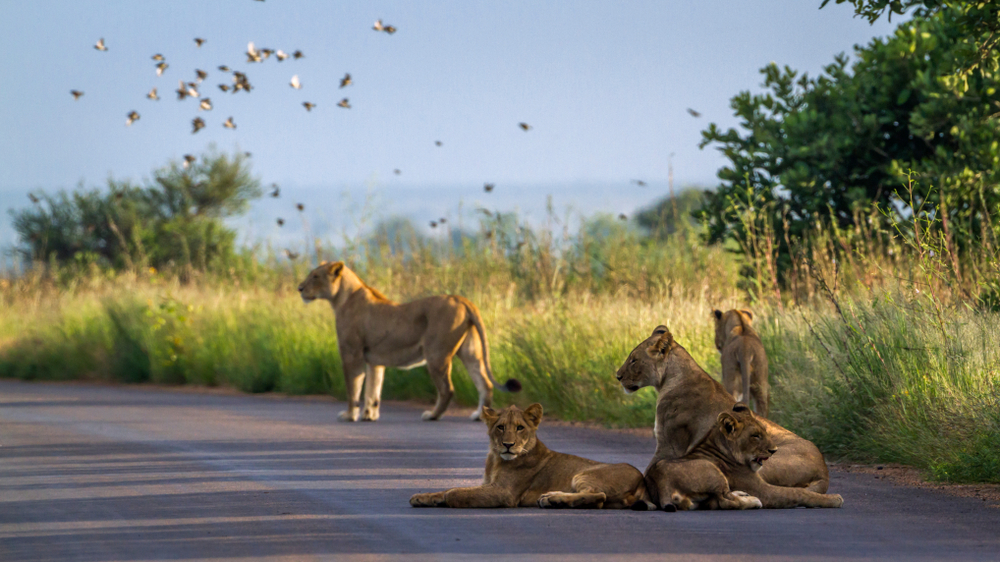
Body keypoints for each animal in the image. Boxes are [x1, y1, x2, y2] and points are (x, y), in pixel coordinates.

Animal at [296, 262, 520, 420]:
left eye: (315, 276)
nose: (299, 288)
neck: (342, 298)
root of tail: (461, 299)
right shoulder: (374, 360)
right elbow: (373, 390)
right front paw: (369, 416)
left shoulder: (351, 354)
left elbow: (354, 388)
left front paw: (349, 415)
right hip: (470, 352)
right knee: (485, 384)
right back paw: (478, 416)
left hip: (436, 354)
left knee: (447, 389)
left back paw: (432, 415)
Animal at [410, 402, 652, 508]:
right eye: (500, 427)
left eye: (520, 428)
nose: (508, 445)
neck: (495, 459)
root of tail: (641, 479)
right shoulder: (488, 484)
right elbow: (448, 488)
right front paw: (422, 497)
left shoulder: (505, 493)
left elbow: (455, 492)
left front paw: (444, 500)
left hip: (583, 473)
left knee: (598, 496)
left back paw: (552, 499)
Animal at [616, 324, 828, 504]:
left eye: (634, 360)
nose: (618, 376)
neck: (671, 378)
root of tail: (824, 470)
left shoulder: (670, 444)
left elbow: (649, 471)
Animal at [648, 402, 844, 508]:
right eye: (755, 436)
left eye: (764, 431)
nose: (774, 450)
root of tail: (662, 485)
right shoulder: (764, 491)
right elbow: (798, 493)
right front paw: (834, 499)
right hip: (712, 470)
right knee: (725, 501)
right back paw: (753, 501)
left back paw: (743, 495)